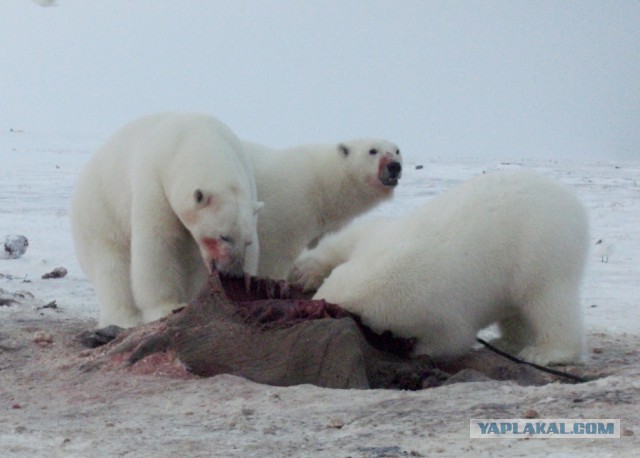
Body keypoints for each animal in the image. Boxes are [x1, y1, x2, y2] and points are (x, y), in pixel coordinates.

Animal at [72, 114, 264, 330]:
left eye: (247, 241)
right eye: (223, 236)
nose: (233, 273)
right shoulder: (155, 182)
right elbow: (159, 243)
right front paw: (168, 307)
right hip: (101, 214)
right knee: (111, 267)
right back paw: (123, 320)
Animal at [242, 139, 402, 280]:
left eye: (397, 150)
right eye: (372, 150)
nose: (394, 166)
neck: (322, 183)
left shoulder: (326, 221)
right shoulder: (287, 208)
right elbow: (273, 254)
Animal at [294, 170, 592, 366]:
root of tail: (570, 200)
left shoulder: (439, 310)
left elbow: (450, 340)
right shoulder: (379, 240)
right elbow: (354, 236)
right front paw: (305, 272)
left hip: (541, 247)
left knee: (547, 299)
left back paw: (545, 352)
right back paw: (508, 342)